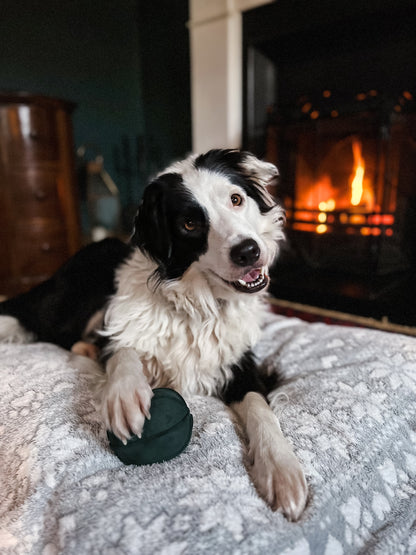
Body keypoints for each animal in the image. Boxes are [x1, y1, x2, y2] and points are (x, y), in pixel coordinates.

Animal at [0, 148, 308, 520]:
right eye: (189, 224)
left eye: (236, 199)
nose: (248, 251)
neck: (196, 307)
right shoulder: (118, 325)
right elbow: (123, 349)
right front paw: (126, 394)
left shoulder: (240, 362)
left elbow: (260, 408)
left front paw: (280, 467)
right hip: (71, 298)